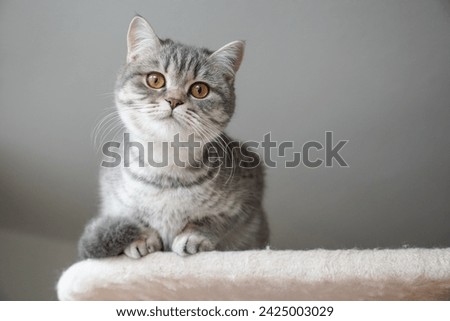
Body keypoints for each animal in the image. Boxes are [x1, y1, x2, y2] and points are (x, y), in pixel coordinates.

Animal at [78, 16, 268, 258]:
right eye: (155, 80)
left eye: (199, 90)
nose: (174, 100)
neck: (166, 171)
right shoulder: (113, 199)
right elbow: (134, 218)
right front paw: (141, 237)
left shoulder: (249, 195)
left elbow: (215, 220)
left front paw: (194, 235)